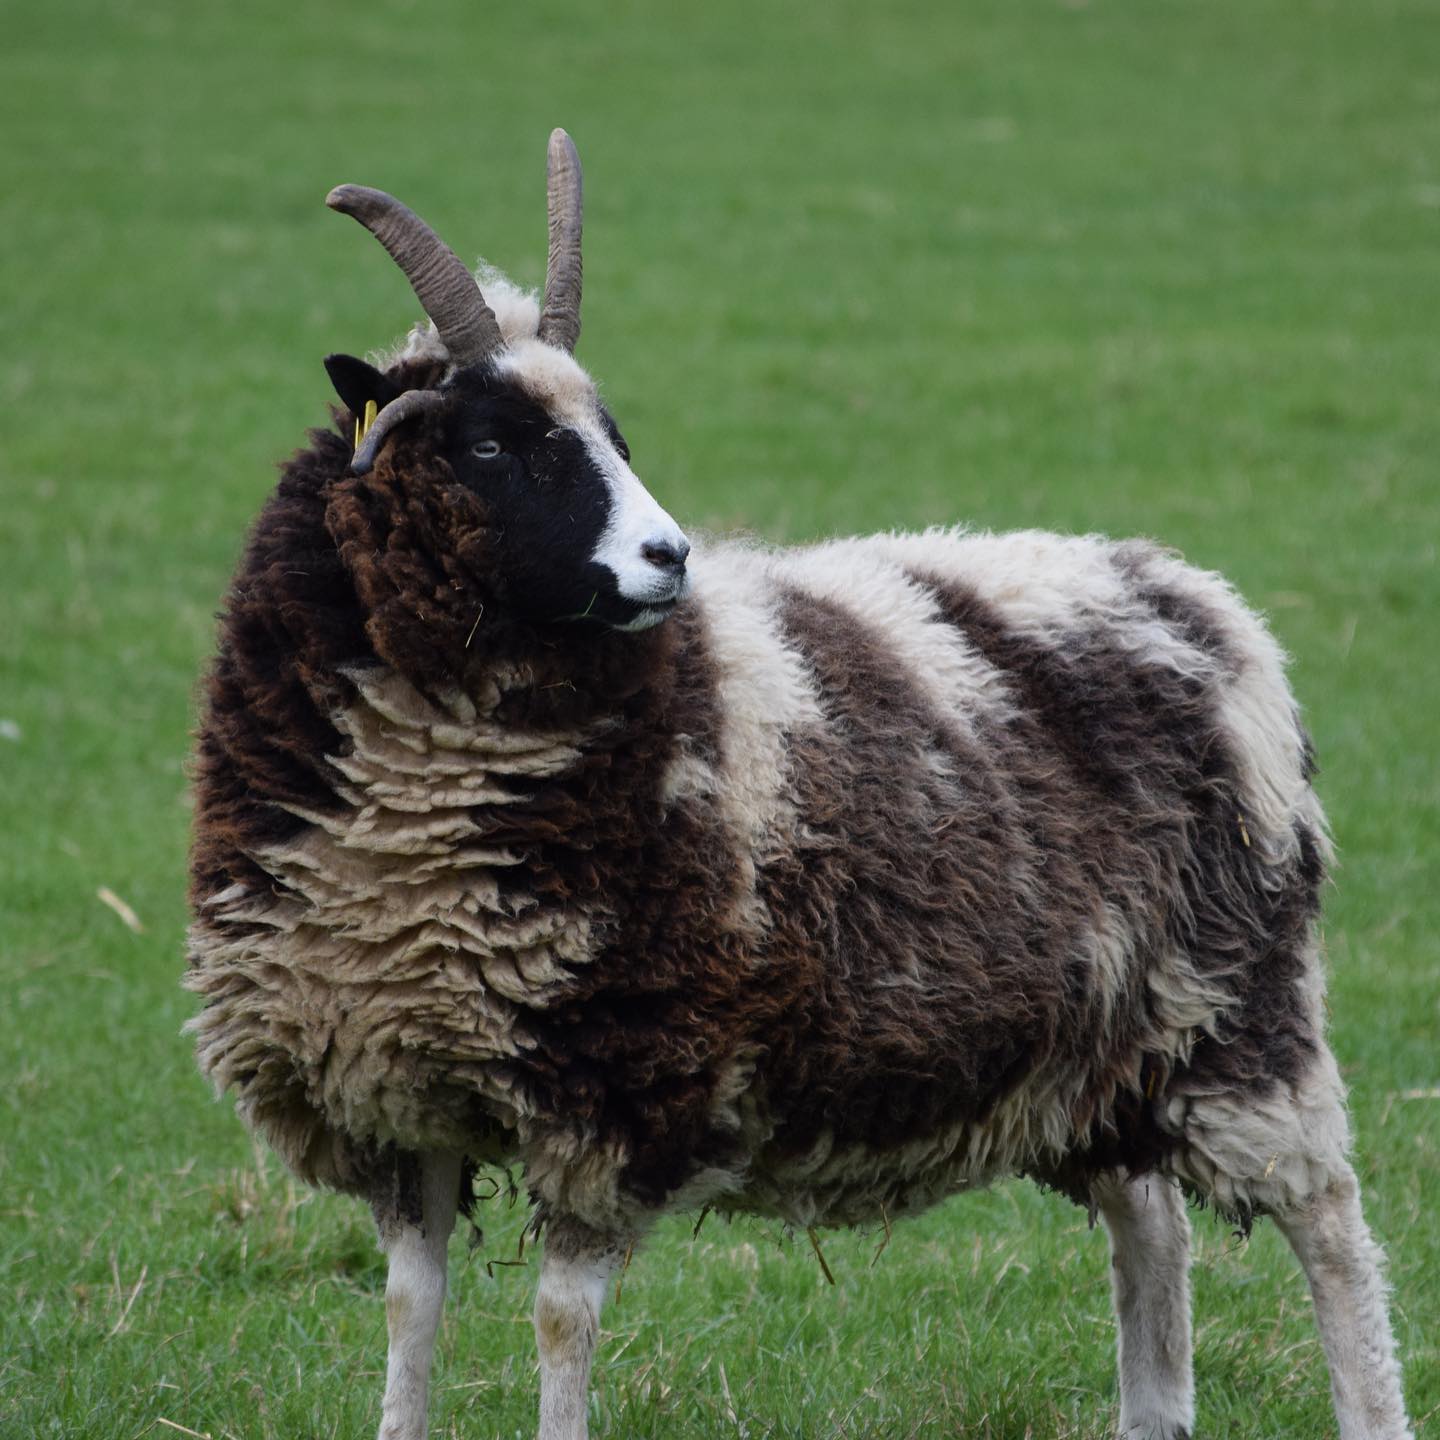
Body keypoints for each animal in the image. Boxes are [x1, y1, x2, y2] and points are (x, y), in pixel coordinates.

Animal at [185, 129, 1414, 1440]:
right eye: (489, 443)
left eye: (615, 435)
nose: (666, 558)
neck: (412, 842)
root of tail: (1198, 599)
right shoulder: (391, 1083)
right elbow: (409, 1310)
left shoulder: (618, 1080)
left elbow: (559, 1322)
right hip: (1098, 1044)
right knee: (1152, 1224)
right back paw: (1151, 1411)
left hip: (1239, 1007)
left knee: (1331, 1225)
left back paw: (1365, 1395)